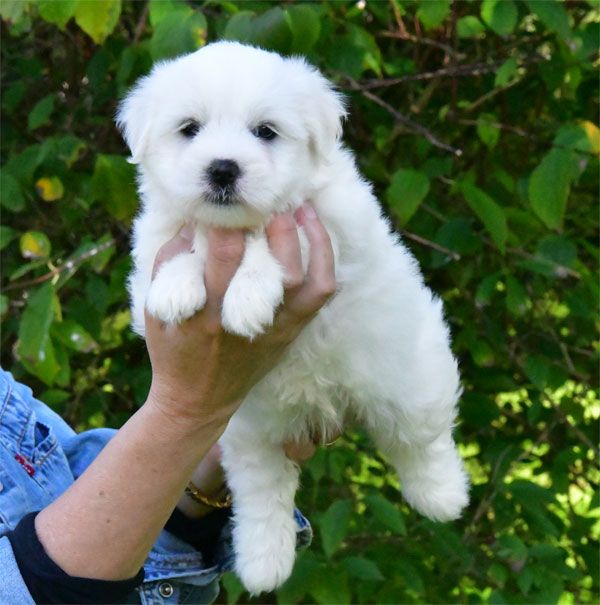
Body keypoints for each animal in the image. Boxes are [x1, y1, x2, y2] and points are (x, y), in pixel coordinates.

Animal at [119, 41, 472, 588]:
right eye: (189, 129)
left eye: (266, 132)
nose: (223, 169)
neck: (234, 225)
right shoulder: (158, 238)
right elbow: (179, 245)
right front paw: (176, 287)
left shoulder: (329, 227)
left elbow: (276, 242)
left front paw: (247, 295)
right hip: (248, 429)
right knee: (262, 492)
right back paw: (264, 561)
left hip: (408, 380)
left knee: (421, 439)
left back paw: (443, 495)